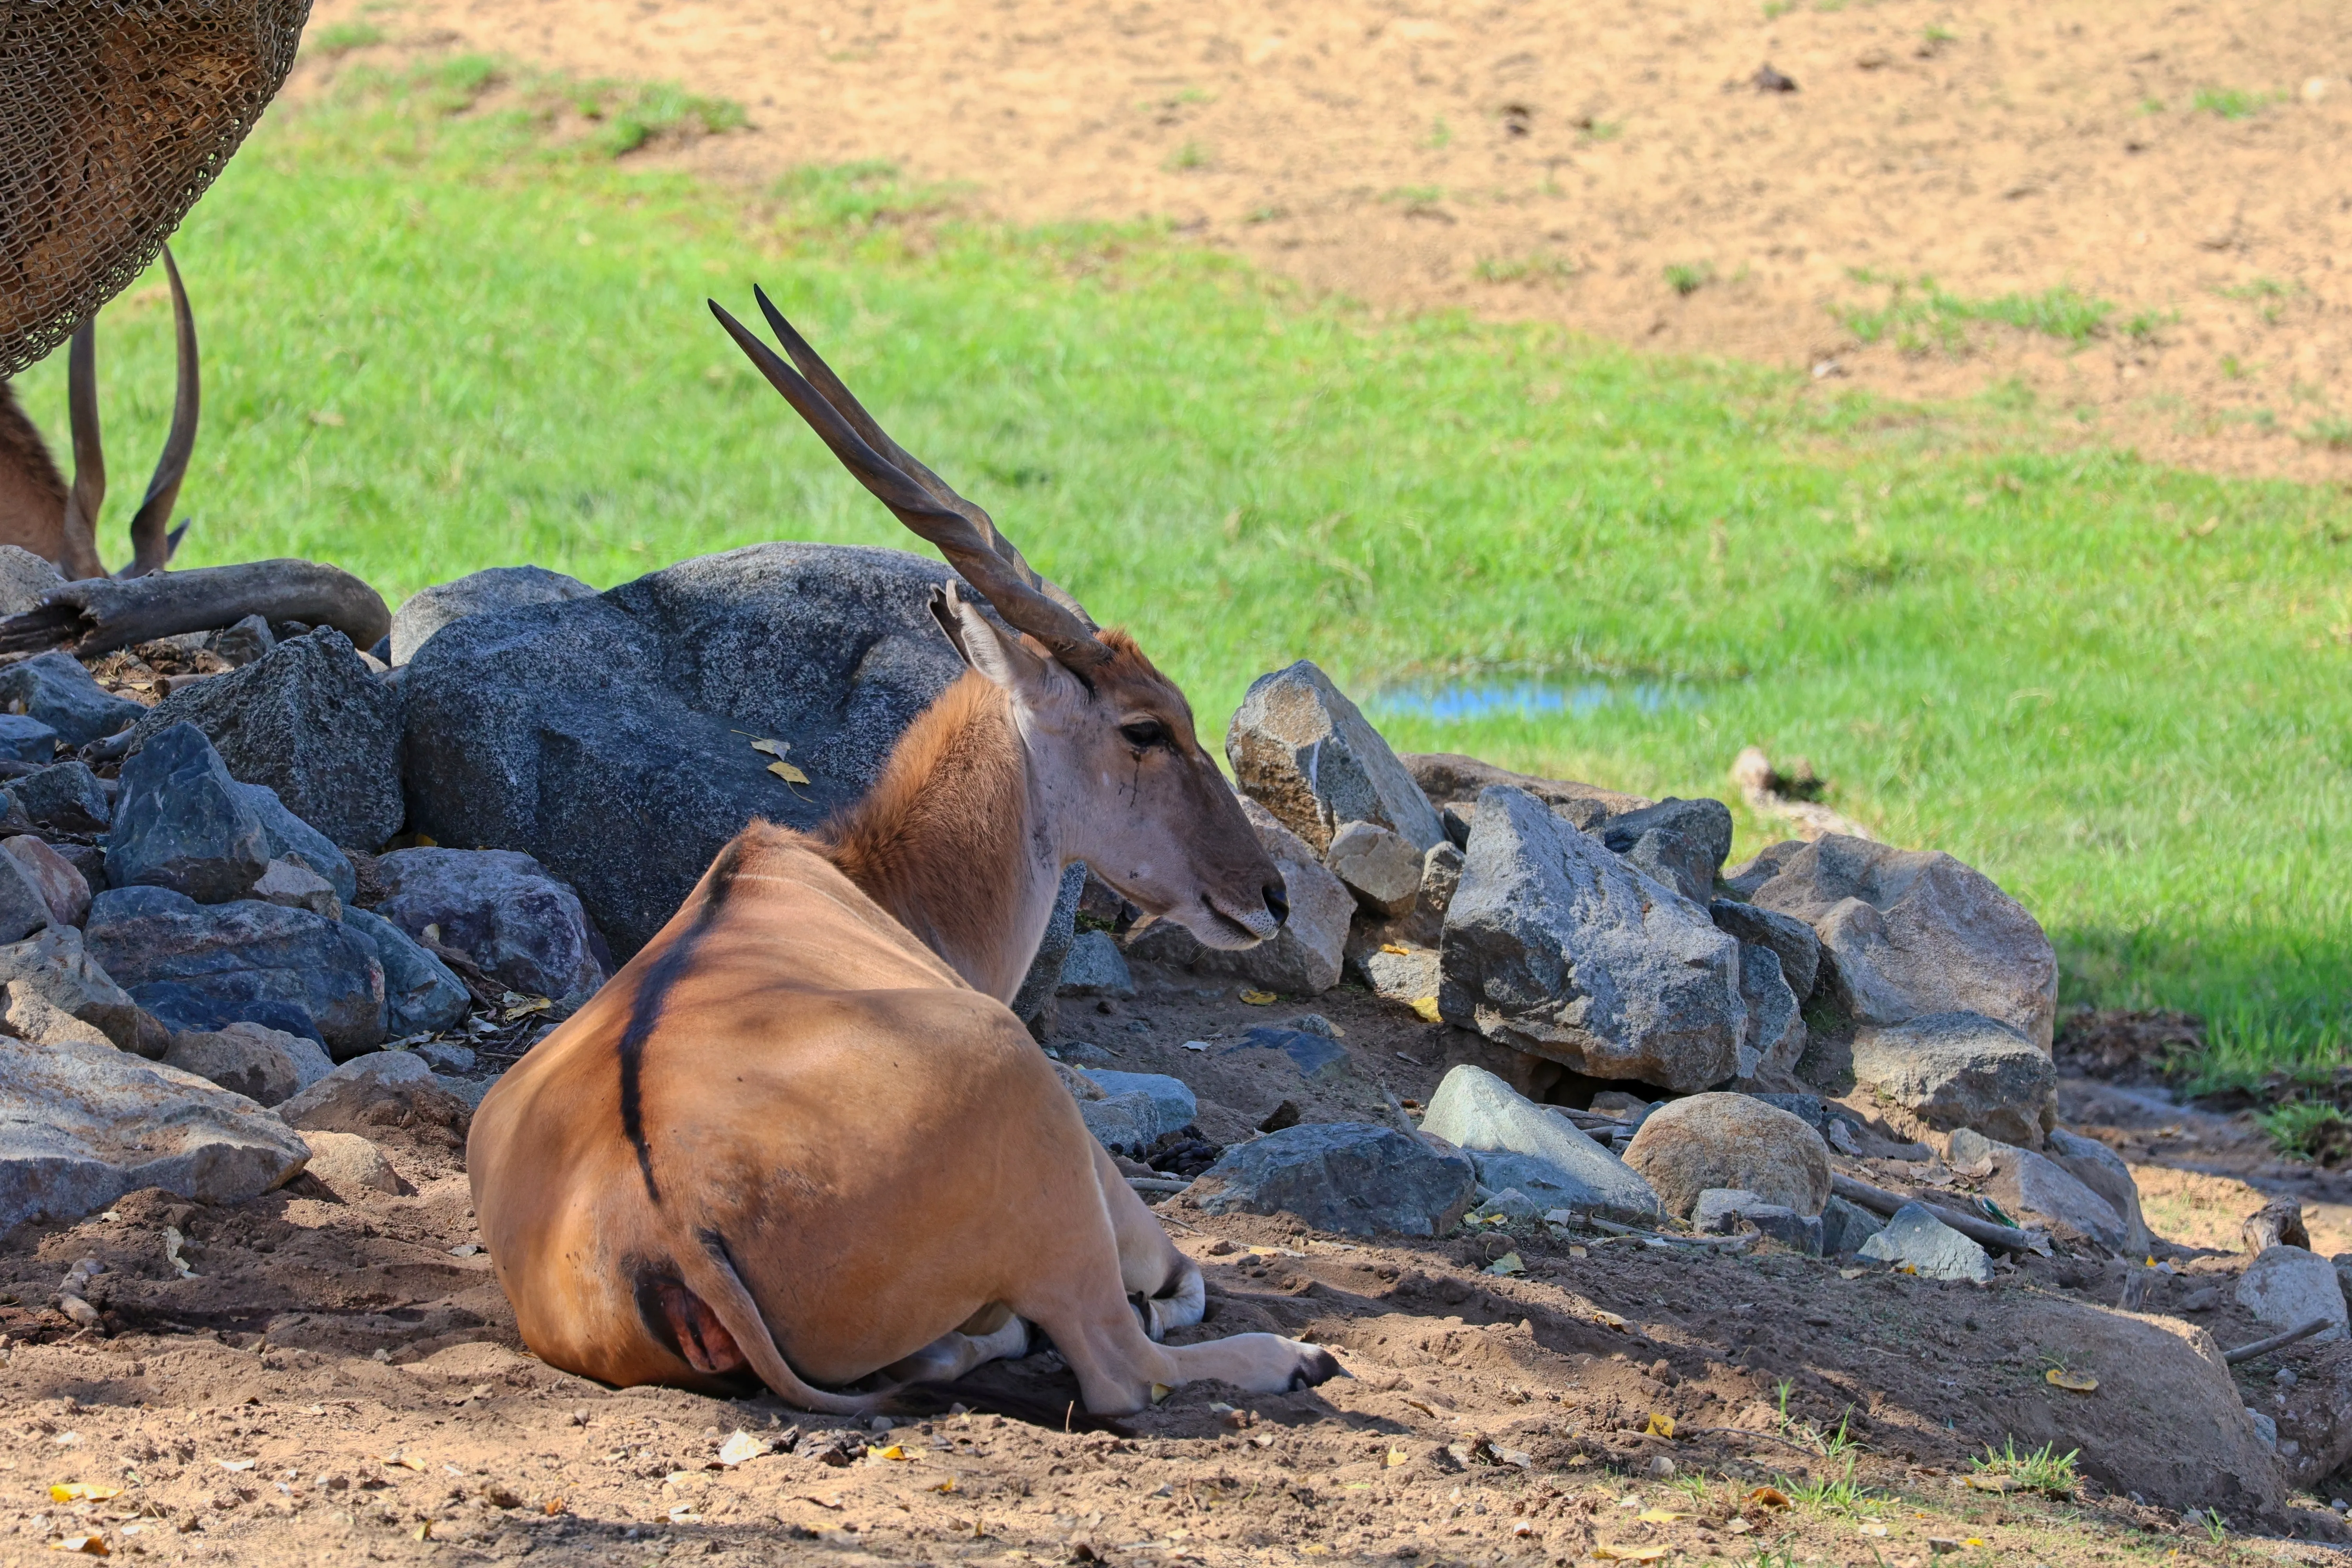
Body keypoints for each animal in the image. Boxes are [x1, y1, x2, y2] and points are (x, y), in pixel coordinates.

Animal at [467, 288, 1342, 1417]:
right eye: (1148, 727)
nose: (1270, 895)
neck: (853, 876)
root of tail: (671, 1228)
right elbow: (1178, 1285)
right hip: (1036, 1118)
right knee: (1121, 1368)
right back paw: (1281, 1355)